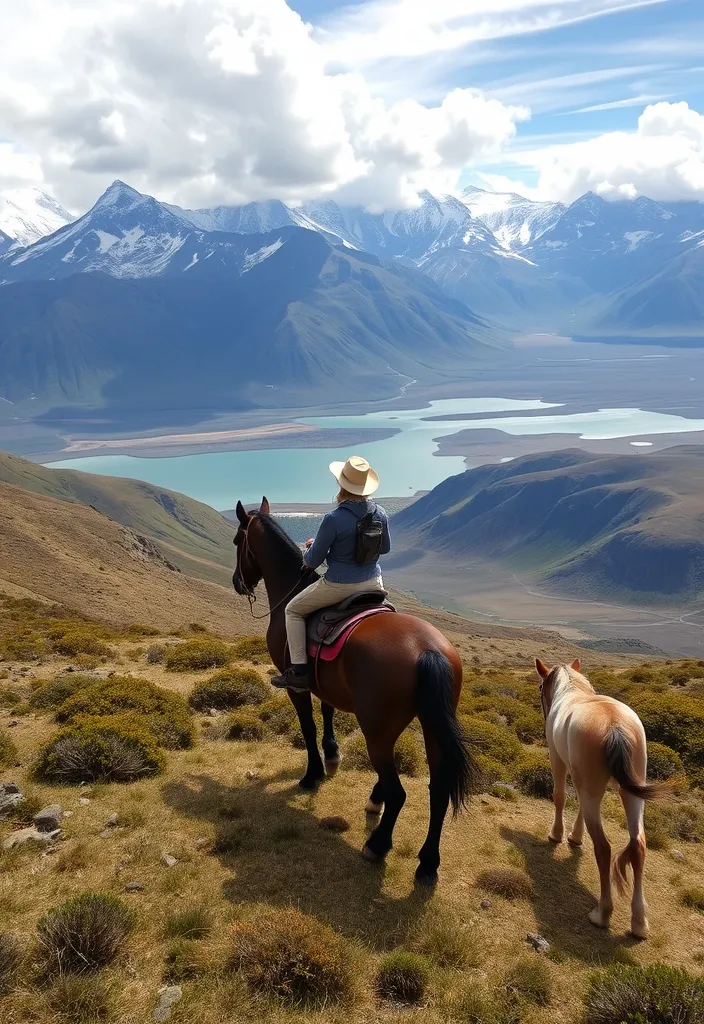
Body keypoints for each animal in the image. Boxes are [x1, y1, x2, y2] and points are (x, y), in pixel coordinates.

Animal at [231, 499, 478, 884]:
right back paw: (427, 863)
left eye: (236, 541)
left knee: (398, 792)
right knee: (437, 792)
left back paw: (377, 844)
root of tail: (428, 650)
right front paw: (332, 757)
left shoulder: (297, 686)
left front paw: (312, 775)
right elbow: (328, 712)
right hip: (430, 727)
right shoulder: (325, 685)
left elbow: (308, 726)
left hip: (376, 730)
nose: (237, 583)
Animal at [540, 659, 667, 937]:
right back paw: (639, 922)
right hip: (631, 793)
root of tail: (614, 725)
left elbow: (560, 797)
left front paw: (557, 834)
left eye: (540, 686)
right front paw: (575, 836)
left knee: (604, 847)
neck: (572, 691)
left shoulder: (558, 761)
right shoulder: (586, 785)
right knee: (638, 844)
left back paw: (602, 913)